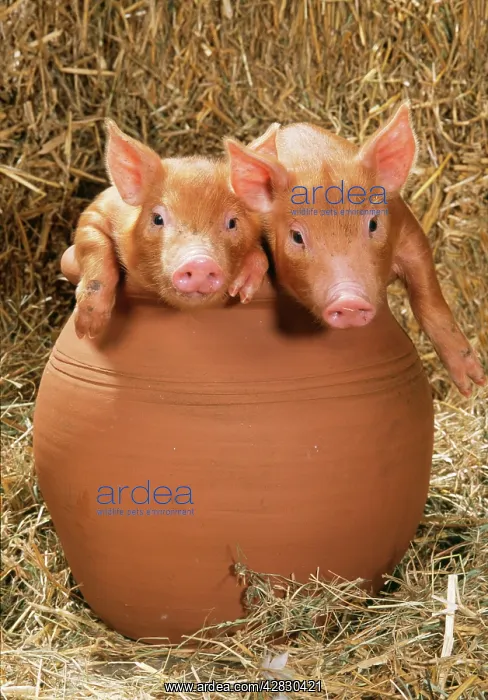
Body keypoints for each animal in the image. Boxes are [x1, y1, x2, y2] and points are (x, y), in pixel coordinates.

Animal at [73, 119, 269, 338]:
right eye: (158, 219)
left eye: (232, 222)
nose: (200, 263)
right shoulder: (97, 210)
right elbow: (93, 244)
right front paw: (87, 330)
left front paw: (242, 292)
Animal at [225, 103, 486, 397]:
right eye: (297, 236)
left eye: (373, 223)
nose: (348, 300)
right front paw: (240, 291)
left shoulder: (408, 228)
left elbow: (428, 296)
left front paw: (472, 383)